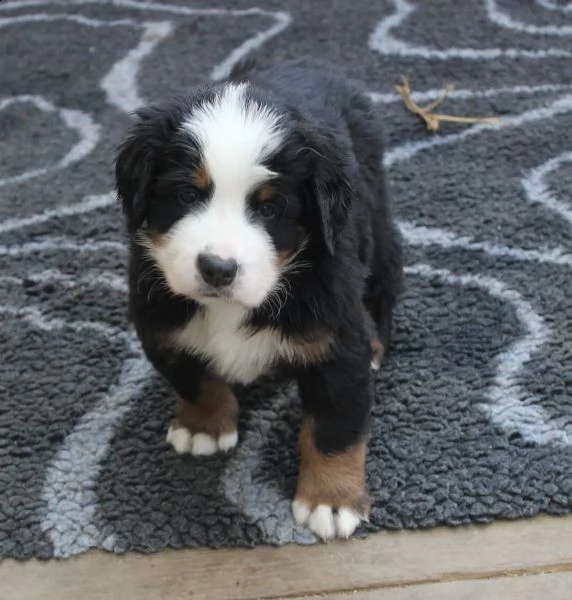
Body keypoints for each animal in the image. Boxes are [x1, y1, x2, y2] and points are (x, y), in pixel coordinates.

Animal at [115, 58, 402, 540]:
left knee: (383, 285)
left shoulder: (335, 342)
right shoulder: (158, 318)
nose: (217, 268)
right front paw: (205, 427)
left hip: (377, 229)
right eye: (187, 194)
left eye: (269, 208)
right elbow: (191, 377)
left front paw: (331, 500)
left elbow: (334, 426)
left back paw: (378, 346)